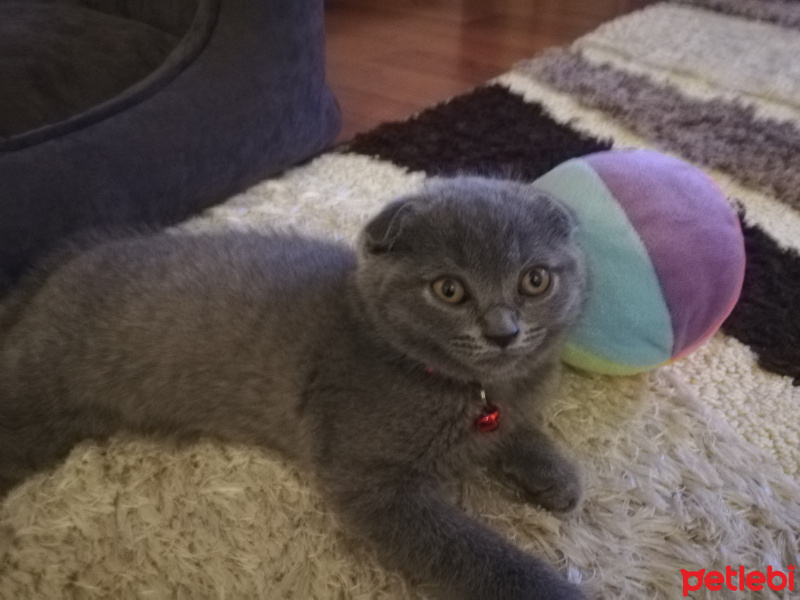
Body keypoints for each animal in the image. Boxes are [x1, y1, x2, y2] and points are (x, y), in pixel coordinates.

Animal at [0, 176, 588, 600]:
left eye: (535, 279)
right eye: (449, 289)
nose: (503, 332)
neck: (469, 388)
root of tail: (62, 264)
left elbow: (518, 430)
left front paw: (554, 474)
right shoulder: (371, 482)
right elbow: (471, 550)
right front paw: (550, 589)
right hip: (35, 398)